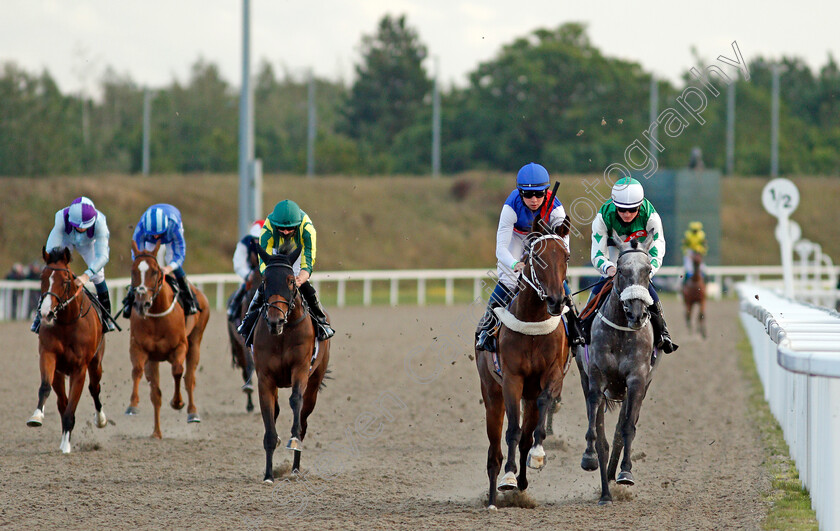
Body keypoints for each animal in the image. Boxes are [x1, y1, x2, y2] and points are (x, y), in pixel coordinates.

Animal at [27, 248, 108, 454]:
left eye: (65, 280)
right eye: (42, 277)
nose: (46, 313)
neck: (67, 323)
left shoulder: (80, 368)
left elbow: (72, 407)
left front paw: (65, 446)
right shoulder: (49, 356)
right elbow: (46, 388)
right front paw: (36, 417)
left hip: (96, 363)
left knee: (94, 388)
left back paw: (100, 419)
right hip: (60, 372)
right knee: (61, 401)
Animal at [124, 242, 210, 440]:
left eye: (155, 271)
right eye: (133, 270)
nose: (141, 303)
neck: (157, 314)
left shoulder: (180, 346)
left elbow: (178, 371)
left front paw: (177, 402)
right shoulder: (140, 349)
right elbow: (138, 372)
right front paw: (133, 405)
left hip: (196, 341)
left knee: (189, 378)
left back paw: (192, 412)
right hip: (154, 359)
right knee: (155, 394)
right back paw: (156, 432)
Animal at [251, 243, 330, 484]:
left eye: (291, 281)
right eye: (265, 280)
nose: (275, 321)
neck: (283, 334)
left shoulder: (301, 370)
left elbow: (296, 401)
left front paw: (293, 440)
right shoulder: (265, 378)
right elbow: (269, 424)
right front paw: (268, 475)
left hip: (314, 384)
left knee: (303, 419)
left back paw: (295, 468)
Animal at [476, 216, 576, 512]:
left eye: (566, 256)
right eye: (538, 258)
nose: (556, 301)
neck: (532, 321)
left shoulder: (552, 375)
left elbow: (538, 417)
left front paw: (538, 455)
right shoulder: (512, 379)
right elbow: (512, 430)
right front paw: (508, 477)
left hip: (529, 397)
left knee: (525, 437)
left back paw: (522, 484)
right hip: (491, 393)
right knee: (494, 451)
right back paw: (494, 498)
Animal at [576, 238, 664, 508]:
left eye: (648, 270)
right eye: (621, 271)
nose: (637, 314)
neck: (622, 331)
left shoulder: (636, 381)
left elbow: (627, 429)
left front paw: (625, 472)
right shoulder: (596, 378)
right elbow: (595, 428)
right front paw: (589, 457)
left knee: (621, 429)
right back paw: (605, 491)